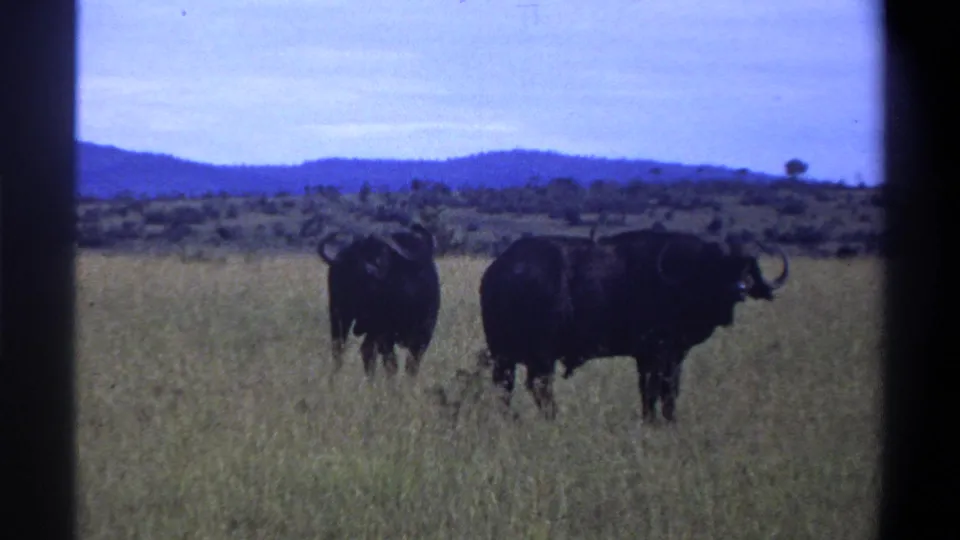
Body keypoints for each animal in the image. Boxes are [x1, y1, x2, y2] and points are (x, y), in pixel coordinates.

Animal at [317, 223, 441, 378]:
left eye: (383, 254)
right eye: (355, 257)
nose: (368, 271)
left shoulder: (424, 332)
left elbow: (412, 364)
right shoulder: (384, 333)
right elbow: (391, 364)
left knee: (365, 350)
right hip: (339, 316)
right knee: (339, 348)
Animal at [478, 227, 788, 422]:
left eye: (747, 268)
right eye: (717, 267)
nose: (739, 289)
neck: (680, 284)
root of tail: (500, 271)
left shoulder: (667, 356)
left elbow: (663, 391)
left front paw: (664, 420)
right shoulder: (656, 353)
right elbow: (656, 389)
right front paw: (655, 422)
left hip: (504, 355)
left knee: (505, 386)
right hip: (540, 355)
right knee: (539, 386)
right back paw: (552, 418)